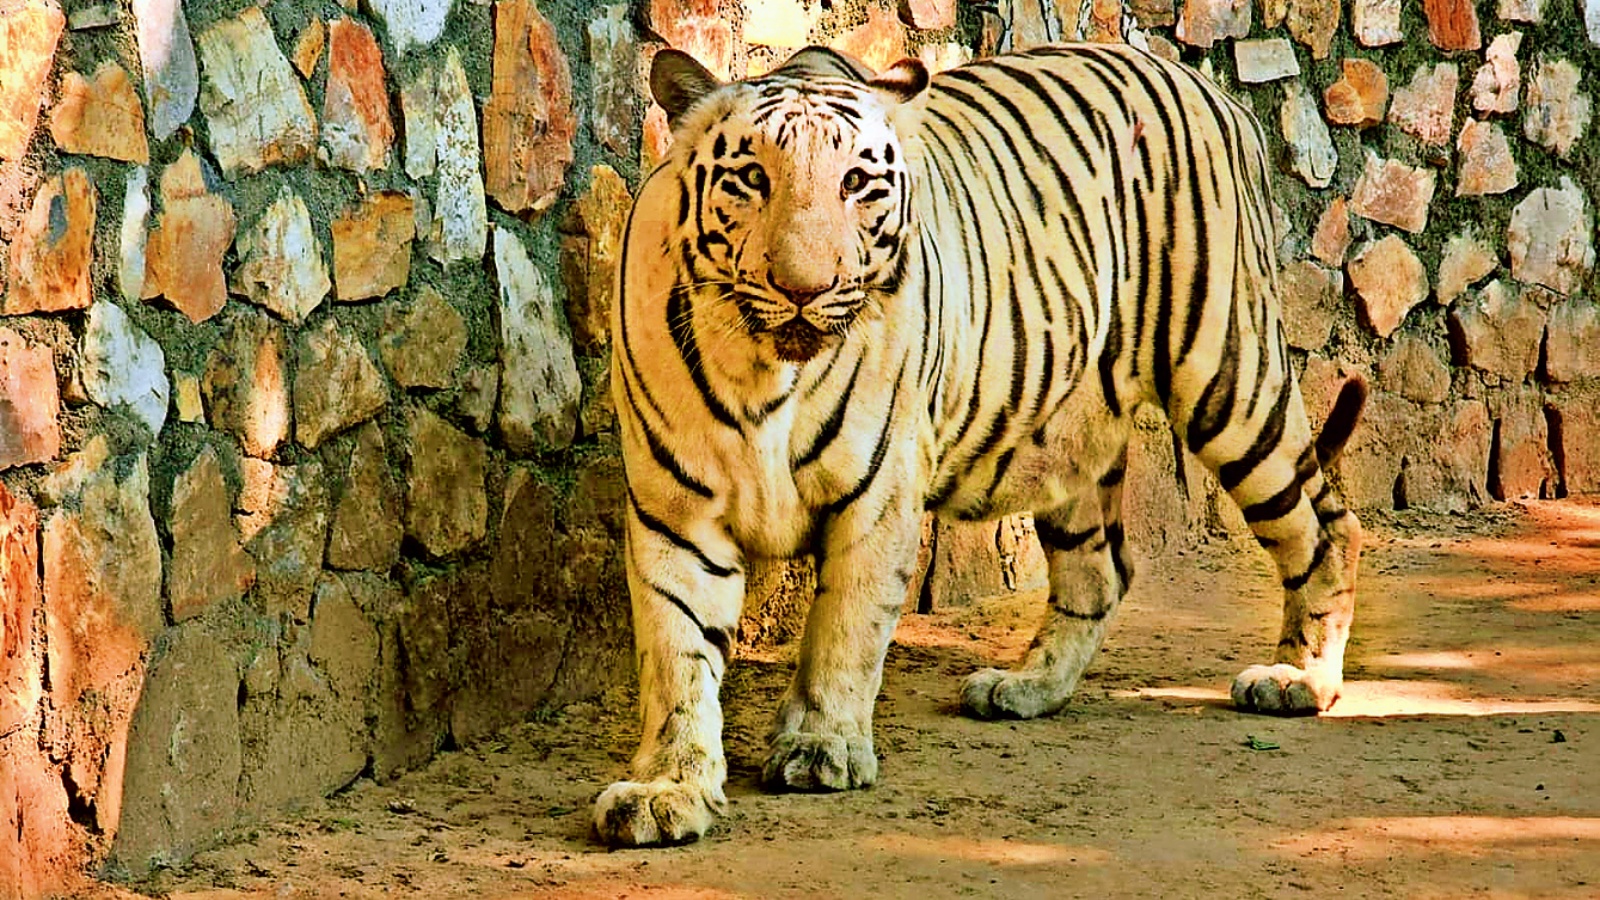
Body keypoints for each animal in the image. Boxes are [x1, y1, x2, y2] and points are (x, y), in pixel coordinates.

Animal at [597, 41, 1367, 847]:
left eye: (856, 184)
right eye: (751, 179)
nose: (806, 288)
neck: (765, 371)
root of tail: (1207, 86)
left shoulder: (878, 499)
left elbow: (845, 630)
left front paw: (821, 746)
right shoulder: (675, 511)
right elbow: (678, 657)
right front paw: (666, 788)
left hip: (1228, 375)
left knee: (1329, 526)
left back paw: (1299, 680)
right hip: (1070, 437)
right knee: (1102, 570)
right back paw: (1028, 687)